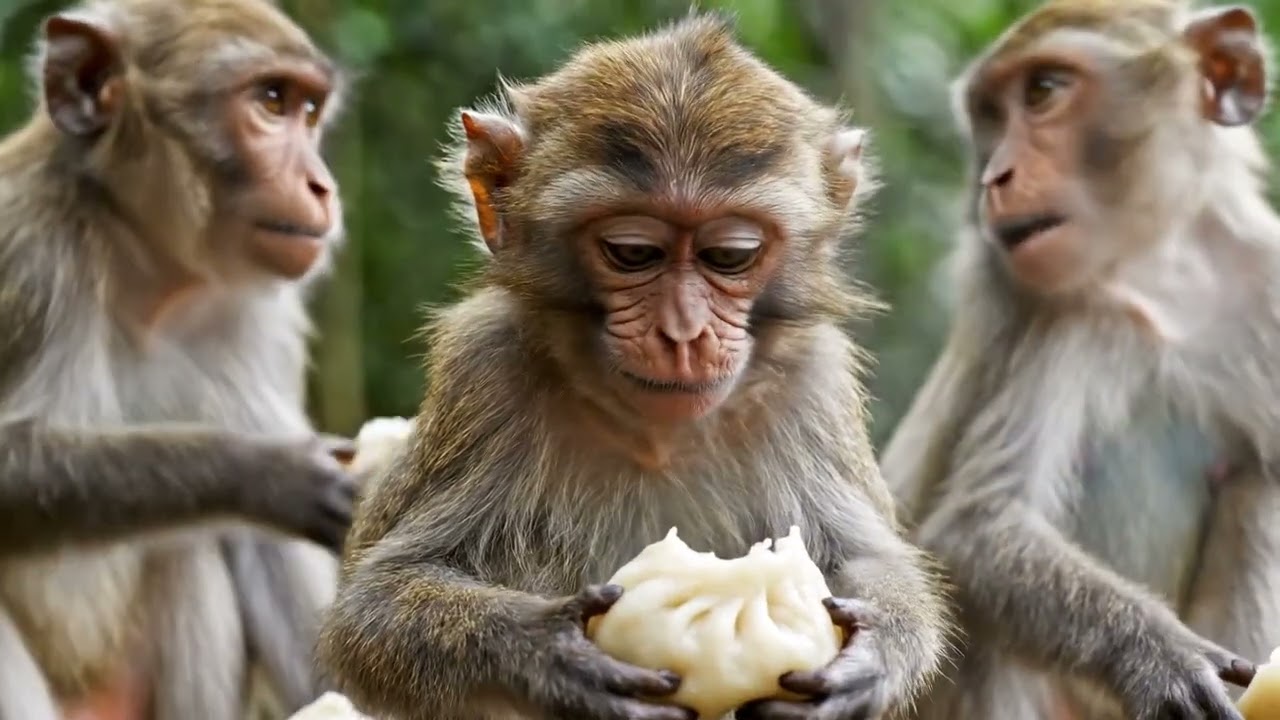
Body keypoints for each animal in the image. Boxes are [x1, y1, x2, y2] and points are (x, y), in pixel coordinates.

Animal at [0, 0, 361, 718]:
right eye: (270, 101)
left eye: (308, 111)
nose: (321, 186)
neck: (140, 268)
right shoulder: (24, 252)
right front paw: (267, 473)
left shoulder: (262, 316)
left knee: (193, 546)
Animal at [317, 13, 951, 720]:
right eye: (632, 252)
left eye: (731, 256)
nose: (684, 331)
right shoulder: (482, 367)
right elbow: (376, 605)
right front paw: (553, 652)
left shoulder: (816, 384)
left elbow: (868, 559)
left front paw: (874, 652)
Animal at [879, 1, 1280, 718]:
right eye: (990, 114)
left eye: (1043, 91)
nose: (995, 177)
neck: (1165, 273)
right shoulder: (1070, 317)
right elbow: (980, 529)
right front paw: (1158, 659)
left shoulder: (1268, 286)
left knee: (1258, 484)